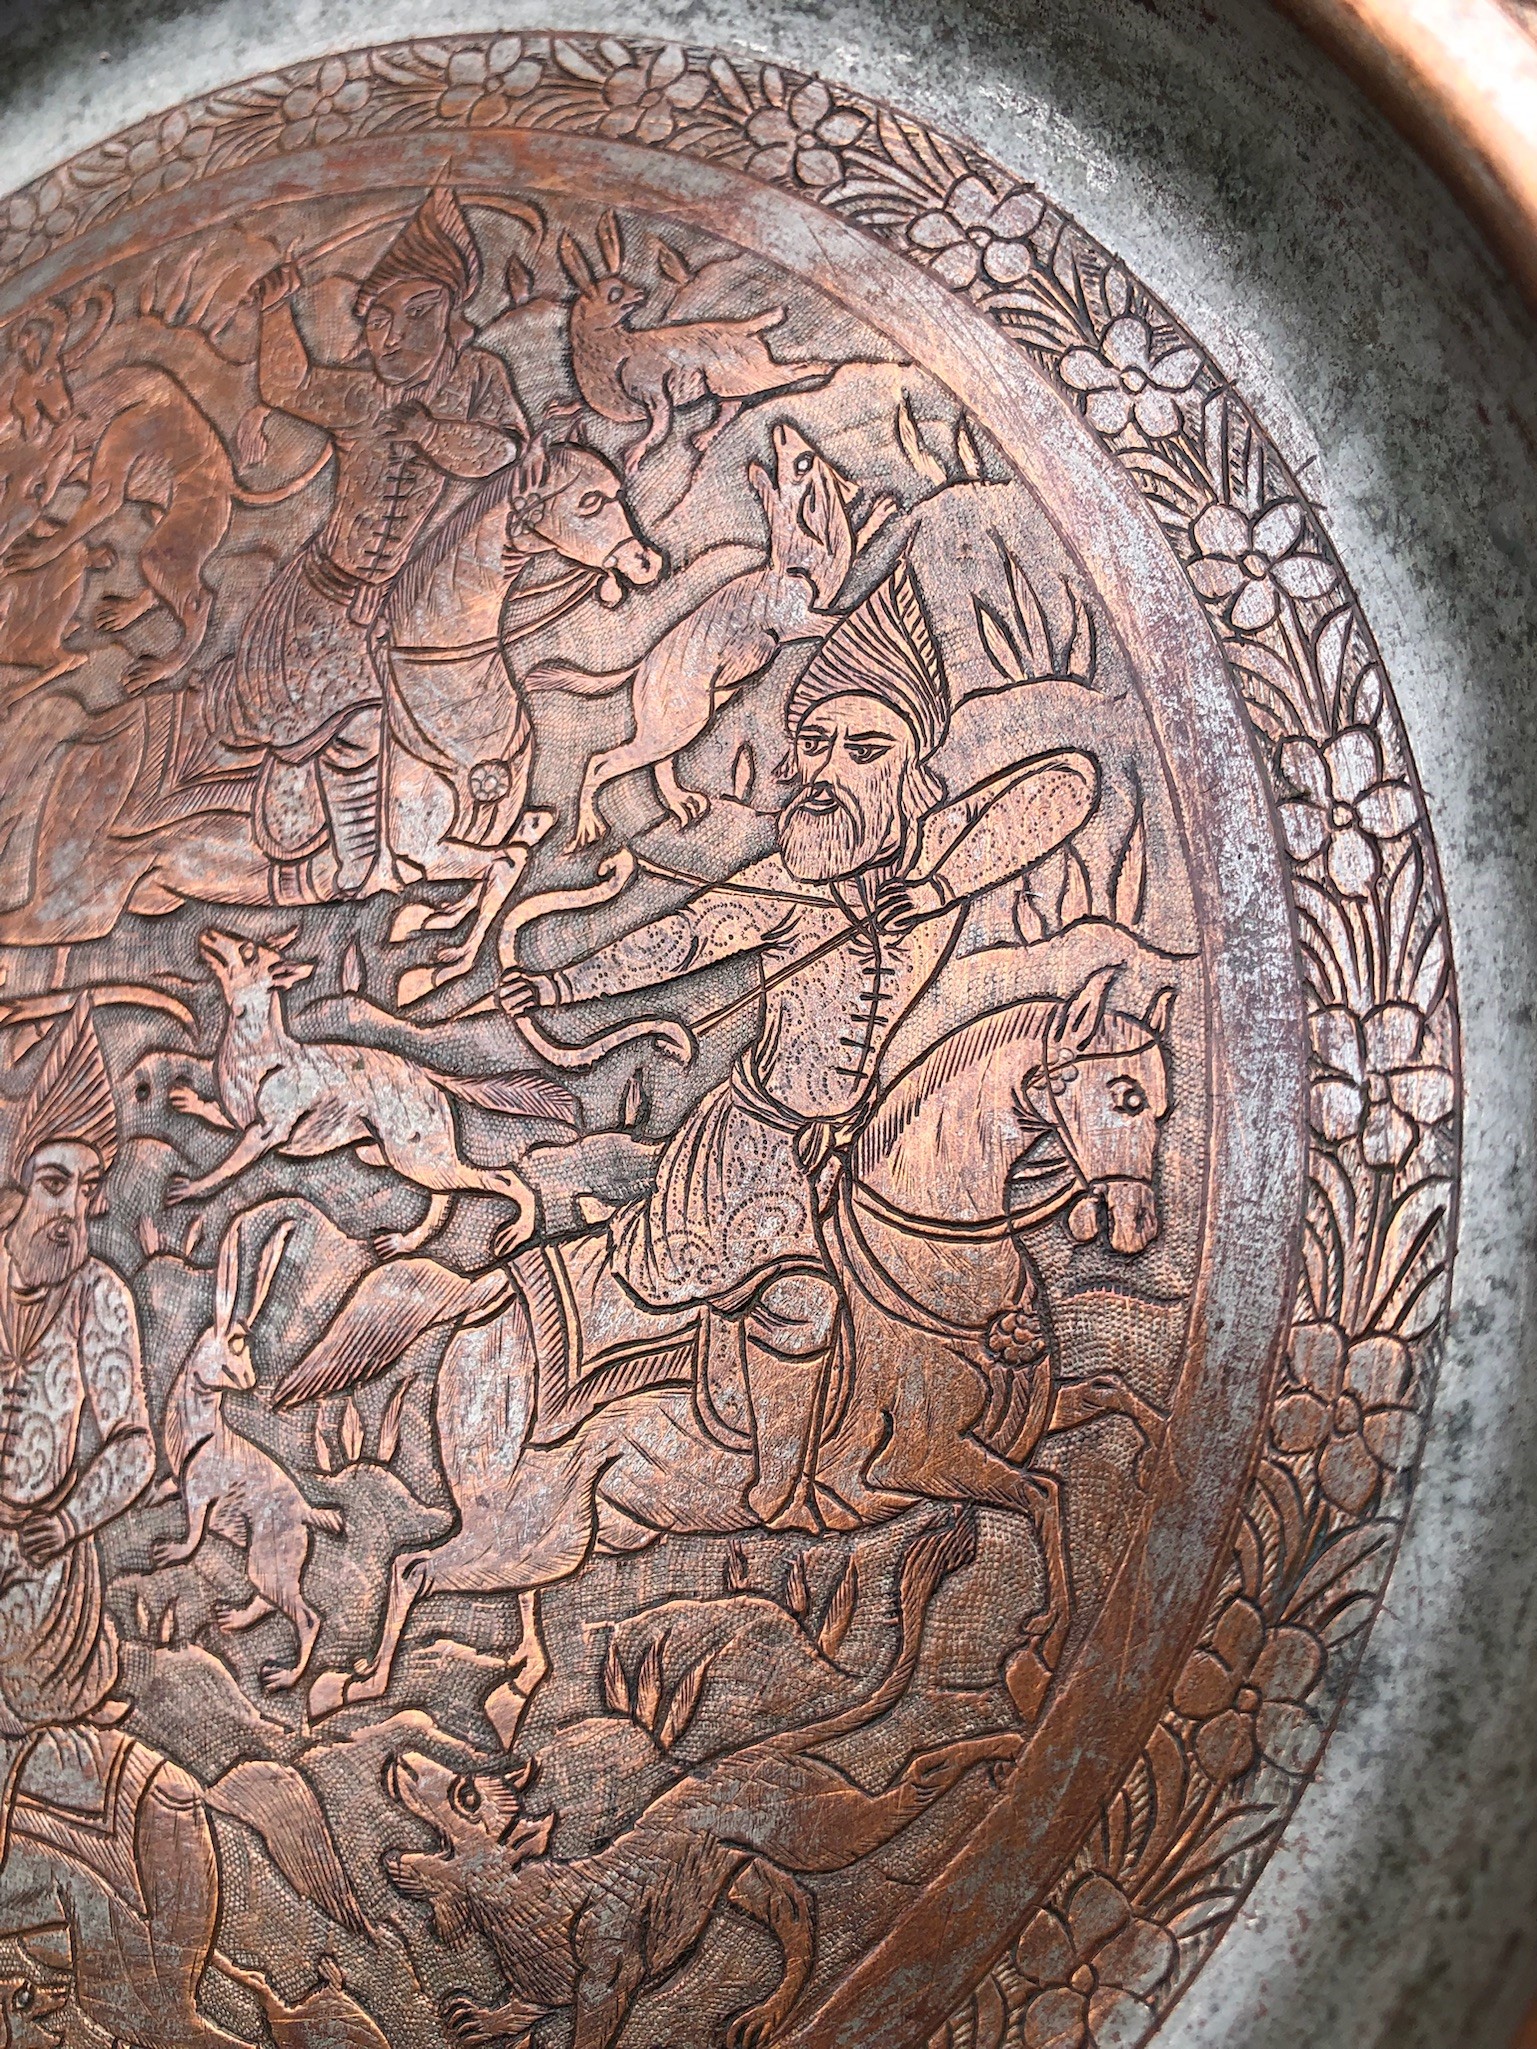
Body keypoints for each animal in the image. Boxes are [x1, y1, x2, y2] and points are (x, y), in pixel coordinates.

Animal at [0, 418, 663, 950]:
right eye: (589, 500)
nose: (646, 562)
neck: (445, 692)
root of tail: (89, 740)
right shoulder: (424, 848)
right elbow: (498, 865)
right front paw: (435, 944)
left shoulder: (500, 825)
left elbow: (521, 848)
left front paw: (433, 927)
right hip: (80, 906)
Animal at [276, 962, 1176, 1742]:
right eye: (1123, 1094)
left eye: (1163, 1102)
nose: (1137, 1225)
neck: (929, 1259)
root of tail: (488, 1299)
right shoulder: (921, 1460)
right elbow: (1044, 1495)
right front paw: (1039, 1644)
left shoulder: (1021, 1422)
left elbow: (1112, 1396)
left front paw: (1144, 1466)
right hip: (529, 1525)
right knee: (414, 1570)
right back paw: (344, 1687)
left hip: (574, 1526)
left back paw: (511, 1688)